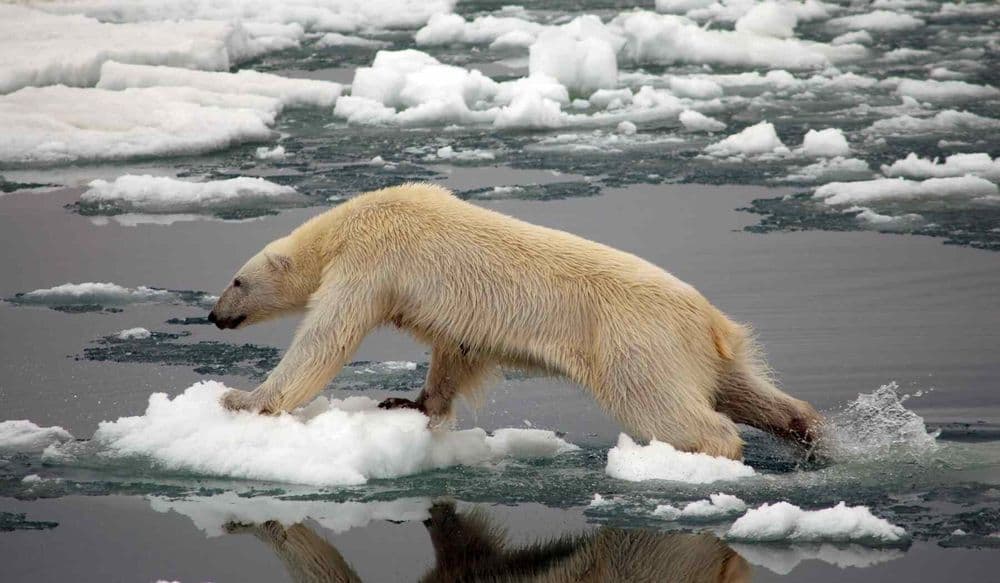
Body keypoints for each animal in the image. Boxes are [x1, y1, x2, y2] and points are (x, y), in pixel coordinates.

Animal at [208, 182, 821, 460]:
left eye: (237, 281)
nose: (214, 316)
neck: (353, 220)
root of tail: (712, 320)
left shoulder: (372, 260)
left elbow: (325, 337)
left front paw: (242, 399)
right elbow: (454, 350)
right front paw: (409, 402)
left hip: (637, 342)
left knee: (664, 404)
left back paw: (708, 451)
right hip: (703, 350)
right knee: (747, 390)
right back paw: (808, 430)